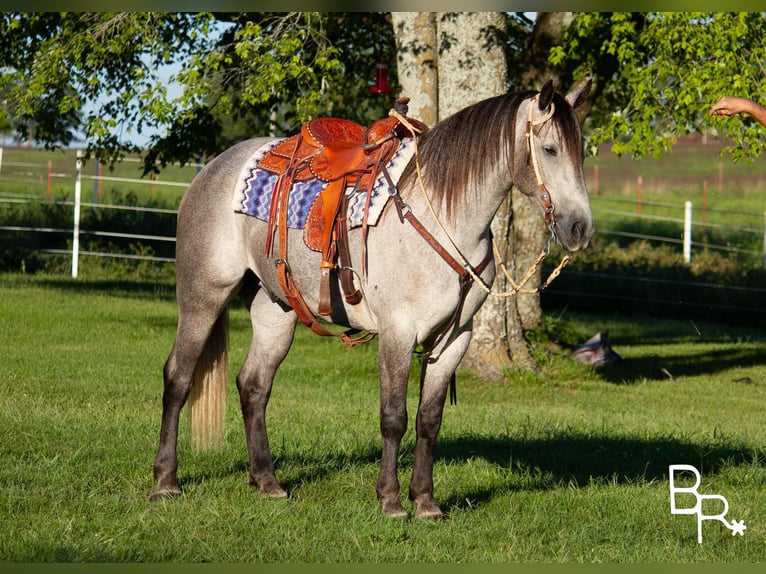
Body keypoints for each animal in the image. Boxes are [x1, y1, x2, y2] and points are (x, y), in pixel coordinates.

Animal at [148, 80, 592, 520]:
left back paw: (267, 482)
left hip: (276, 310)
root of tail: (213, 168)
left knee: (254, 385)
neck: (445, 219)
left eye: (582, 149)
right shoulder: (398, 332)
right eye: (549, 149)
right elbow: (394, 416)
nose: (580, 228)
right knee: (177, 378)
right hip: (203, 298)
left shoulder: (455, 338)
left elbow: (429, 418)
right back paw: (166, 482)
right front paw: (391, 501)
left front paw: (426, 502)